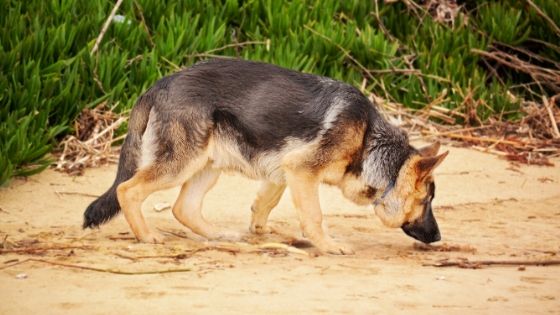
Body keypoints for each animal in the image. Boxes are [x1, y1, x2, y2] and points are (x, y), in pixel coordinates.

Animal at [83, 58, 448, 256]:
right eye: (426, 201)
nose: (438, 237)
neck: (368, 141)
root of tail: (159, 85)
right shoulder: (302, 172)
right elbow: (314, 216)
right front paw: (327, 245)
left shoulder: (284, 171)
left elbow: (265, 204)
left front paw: (262, 233)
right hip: (179, 165)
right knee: (127, 190)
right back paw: (147, 237)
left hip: (207, 166)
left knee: (183, 208)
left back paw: (219, 235)